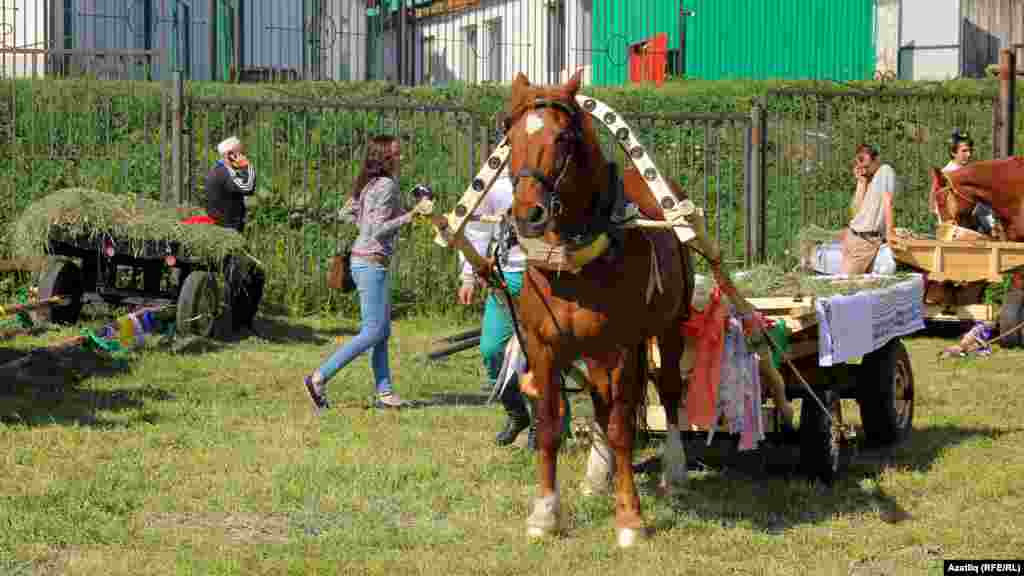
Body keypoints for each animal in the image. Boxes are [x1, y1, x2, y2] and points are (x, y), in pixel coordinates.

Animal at [503, 69, 696, 545]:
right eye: (509, 134)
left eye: (564, 136)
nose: (528, 214)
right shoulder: (544, 346)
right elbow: (549, 426)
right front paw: (545, 513)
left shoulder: (624, 347)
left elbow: (622, 427)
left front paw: (630, 518)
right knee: (601, 399)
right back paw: (597, 476)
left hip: (668, 327)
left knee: (666, 392)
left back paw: (674, 471)